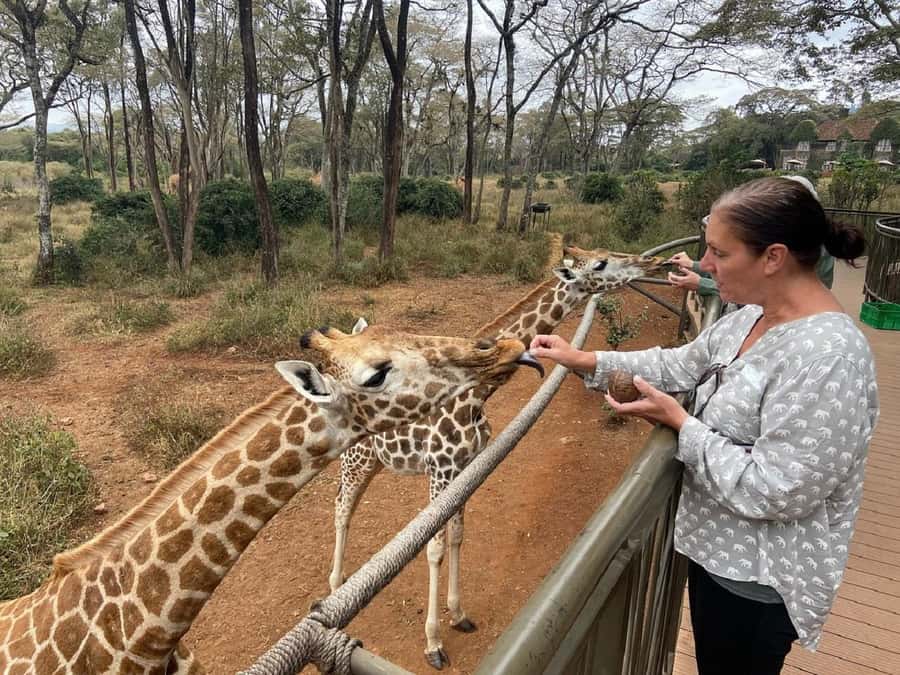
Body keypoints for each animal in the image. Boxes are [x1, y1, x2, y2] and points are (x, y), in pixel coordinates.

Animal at [329, 247, 668, 669]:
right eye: (600, 264)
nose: (653, 263)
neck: (476, 396)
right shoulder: (440, 469)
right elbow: (434, 549)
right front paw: (433, 644)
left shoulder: (464, 468)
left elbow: (458, 536)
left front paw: (458, 615)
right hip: (356, 457)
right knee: (342, 507)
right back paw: (335, 586)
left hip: (375, 461)